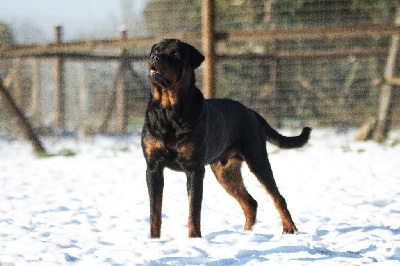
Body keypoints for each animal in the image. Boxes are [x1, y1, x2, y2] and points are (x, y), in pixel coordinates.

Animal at [142, 38, 310, 238]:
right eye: (156, 50)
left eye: (175, 54)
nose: (155, 57)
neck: (168, 111)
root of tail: (251, 112)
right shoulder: (153, 167)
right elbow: (154, 211)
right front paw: (154, 240)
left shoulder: (194, 169)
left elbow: (193, 210)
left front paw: (194, 238)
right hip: (225, 171)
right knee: (250, 203)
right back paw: (246, 234)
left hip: (257, 159)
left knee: (277, 196)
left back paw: (289, 228)